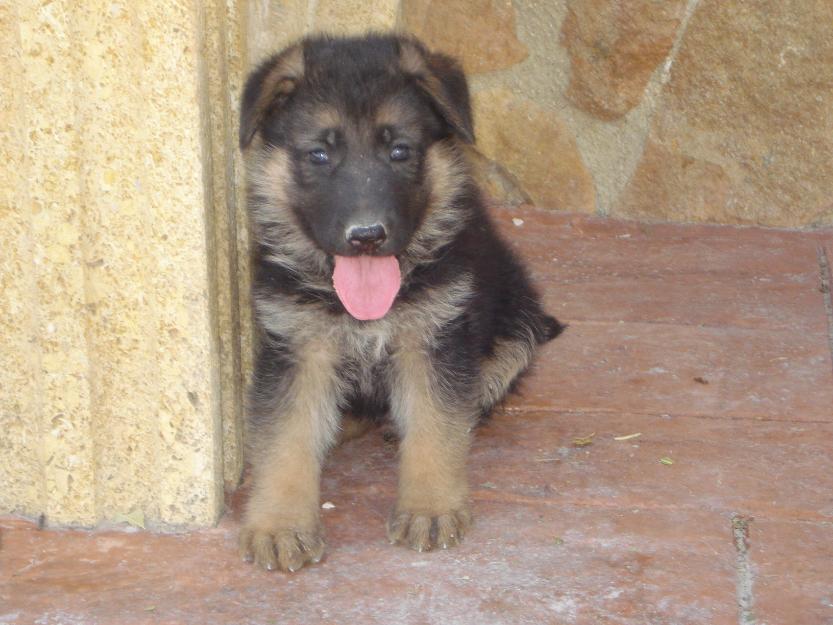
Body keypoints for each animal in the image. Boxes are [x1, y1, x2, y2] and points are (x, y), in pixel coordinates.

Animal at [236, 33, 560, 572]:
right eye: (319, 155)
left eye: (400, 151)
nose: (367, 236)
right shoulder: (297, 347)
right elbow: (286, 438)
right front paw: (281, 522)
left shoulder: (435, 340)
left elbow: (434, 425)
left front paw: (429, 507)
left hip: (519, 328)